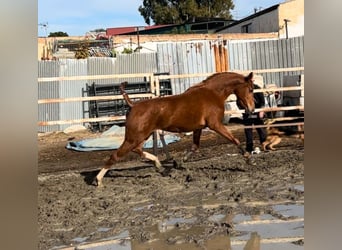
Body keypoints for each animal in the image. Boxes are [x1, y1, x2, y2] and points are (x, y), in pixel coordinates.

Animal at [93, 71, 254, 187]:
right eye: (251, 89)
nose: (251, 109)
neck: (213, 93)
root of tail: (133, 105)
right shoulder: (215, 125)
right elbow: (234, 139)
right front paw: (248, 158)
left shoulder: (198, 128)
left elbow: (195, 147)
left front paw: (180, 162)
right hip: (134, 137)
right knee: (116, 156)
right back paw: (98, 180)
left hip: (142, 136)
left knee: (137, 150)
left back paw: (160, 167)